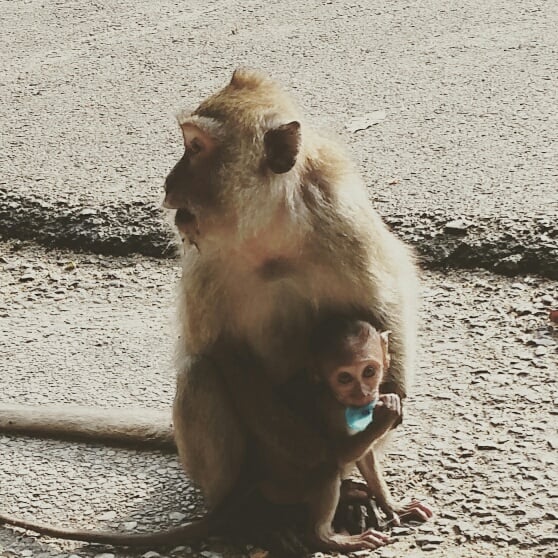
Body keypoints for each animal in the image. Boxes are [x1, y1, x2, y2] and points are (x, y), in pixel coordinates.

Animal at [0, 70, 420, 548]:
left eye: (197, 148)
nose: (168, 183)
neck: (268, 231)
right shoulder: (205, 264)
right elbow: (223, 353)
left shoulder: (341, 220)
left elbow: (385, 307)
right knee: (201, 375)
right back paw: (250, 511)